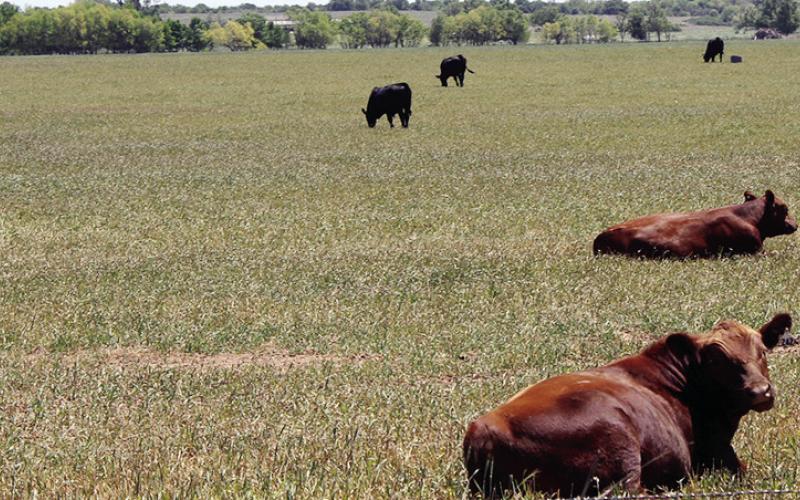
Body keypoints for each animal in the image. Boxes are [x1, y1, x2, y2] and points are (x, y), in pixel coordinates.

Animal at [463, 313, 792, 497]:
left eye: (762, 351)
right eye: (716, 360)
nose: (760, 392)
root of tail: (484, 429)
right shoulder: (719, 450)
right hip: (618, 442)